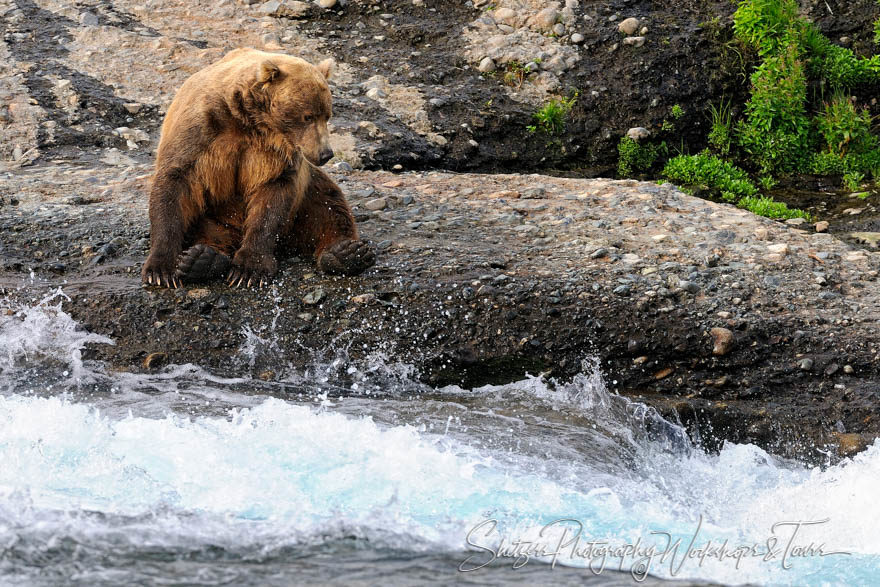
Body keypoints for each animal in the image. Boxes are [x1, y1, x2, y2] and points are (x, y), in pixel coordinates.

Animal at [142, 47, 374, 290]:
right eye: (308, 116)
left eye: (327, 115)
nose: (325, 153)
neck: (248, 120)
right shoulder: (200, 131)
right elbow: (174, 183)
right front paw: (160, 269)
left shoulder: (276, 155)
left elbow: (271, 201)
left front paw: (250, 269)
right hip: (213, 217)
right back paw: (201, 258)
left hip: (307, 194)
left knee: (329, 206)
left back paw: (346, 253)